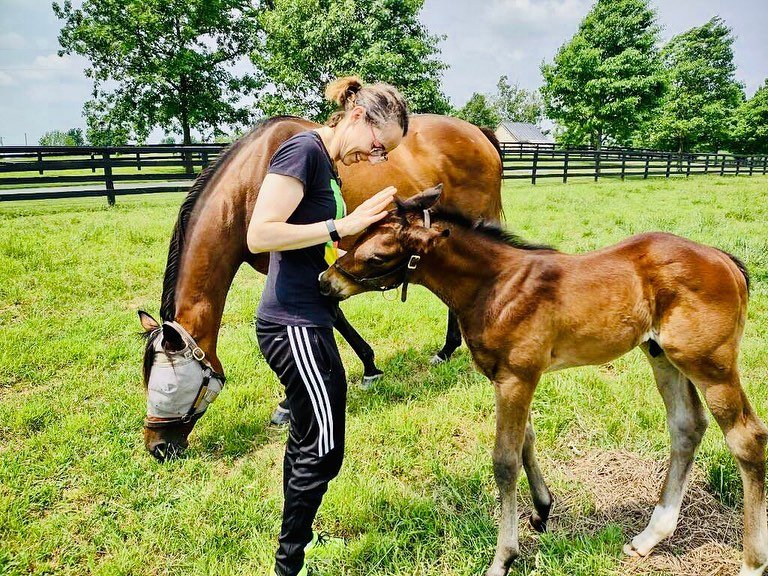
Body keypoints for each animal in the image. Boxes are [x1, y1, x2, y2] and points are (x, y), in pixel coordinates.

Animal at [137, 115, 500, 462]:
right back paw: (447, 349)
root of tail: (478, 133)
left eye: (166, 389)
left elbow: (323, 314)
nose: (157, 448)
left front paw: (297, 400)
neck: (253, 181)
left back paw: (448, 348)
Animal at [320, 187, 768, 576]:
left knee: (747, 438)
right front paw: (542, 508)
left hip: (710, 363)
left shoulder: (516, 377)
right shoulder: (514, 379)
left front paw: (503, 558)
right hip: (662, 355)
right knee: (686, 427)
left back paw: (751, 562)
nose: (327, 282)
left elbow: (504, 460)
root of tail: (725, 260)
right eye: (356, 238)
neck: (496, 286)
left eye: (378, 255)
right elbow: (527, 440)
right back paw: (649, 537)